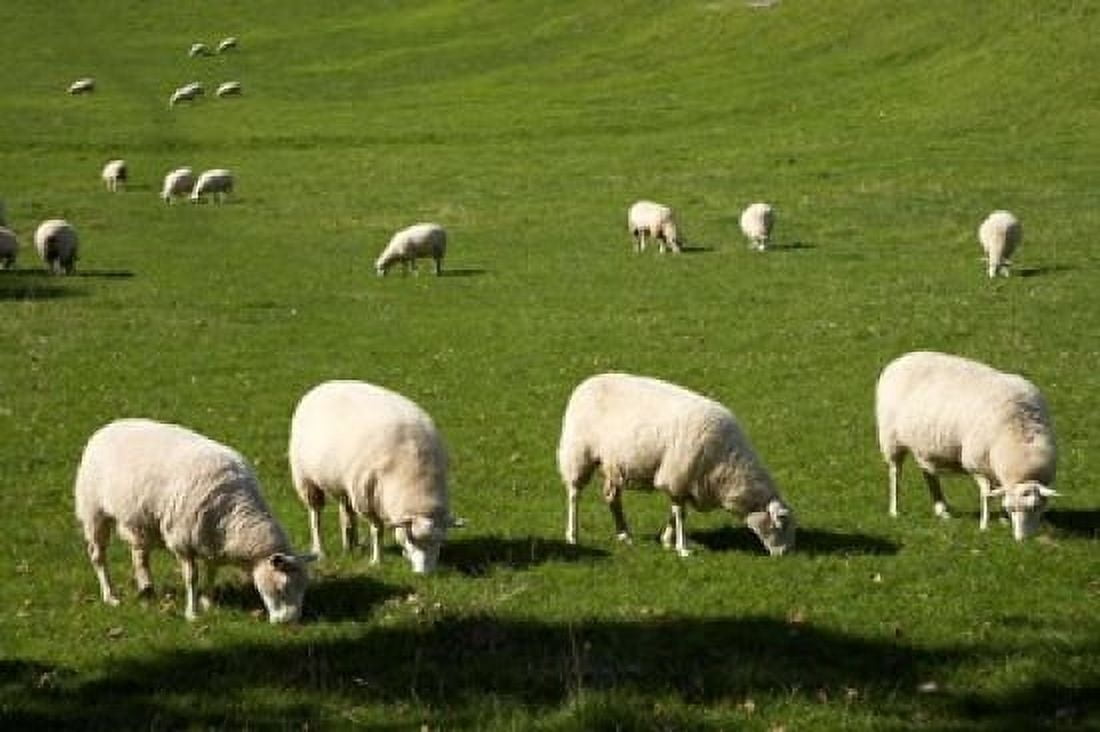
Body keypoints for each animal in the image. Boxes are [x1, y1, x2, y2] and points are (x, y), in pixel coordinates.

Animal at [75, 418, 315, 622]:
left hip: (141, 521)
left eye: (304, 588)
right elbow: (192, 577)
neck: (236, 514)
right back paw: (110, 596)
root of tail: (106, 427)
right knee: (98, 556)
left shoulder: (212, 541)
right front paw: (193, 613)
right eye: (282, 588)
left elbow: (211, 572)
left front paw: (209, 602)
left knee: (139, 556)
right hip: (94, 511)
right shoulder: (183, 542)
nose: (290, 622)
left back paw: (147, 589)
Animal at [289, 380, 460, 574]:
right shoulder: (364, 499)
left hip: (343, 483)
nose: (424, 574)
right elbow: (377, 529)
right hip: (306, 478)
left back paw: (351, 546)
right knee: (315, 515)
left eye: (440, 541)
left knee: (346, 513)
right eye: (411, 539)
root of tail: (323, 385)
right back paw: (320, 550)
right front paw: (377, 561)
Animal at [558, 372, 796, 557]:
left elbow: (676, 511)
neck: (729, 464)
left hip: (613, 464)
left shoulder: (685, 481)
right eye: (781, 523)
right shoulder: (677, 476)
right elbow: (681, 514)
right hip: (578, 453)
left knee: (612, 497)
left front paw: (667, 540)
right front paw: (683, 549)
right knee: (574, 495)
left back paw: (624, 534)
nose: (785, 554)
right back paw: (572, 535)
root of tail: (587, 382)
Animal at [876, 351, 1058, 540]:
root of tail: (900, 360)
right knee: (895, 473)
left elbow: (997, 491)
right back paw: (895, 510)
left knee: (929, 474)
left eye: (1036, 507)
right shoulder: (976, 464)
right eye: (1011, 508)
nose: (1022, 540)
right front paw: (985, 526)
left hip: (923, 444)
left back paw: (942, 509)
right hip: (891, 439)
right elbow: (986, 494)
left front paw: (1002, 520)